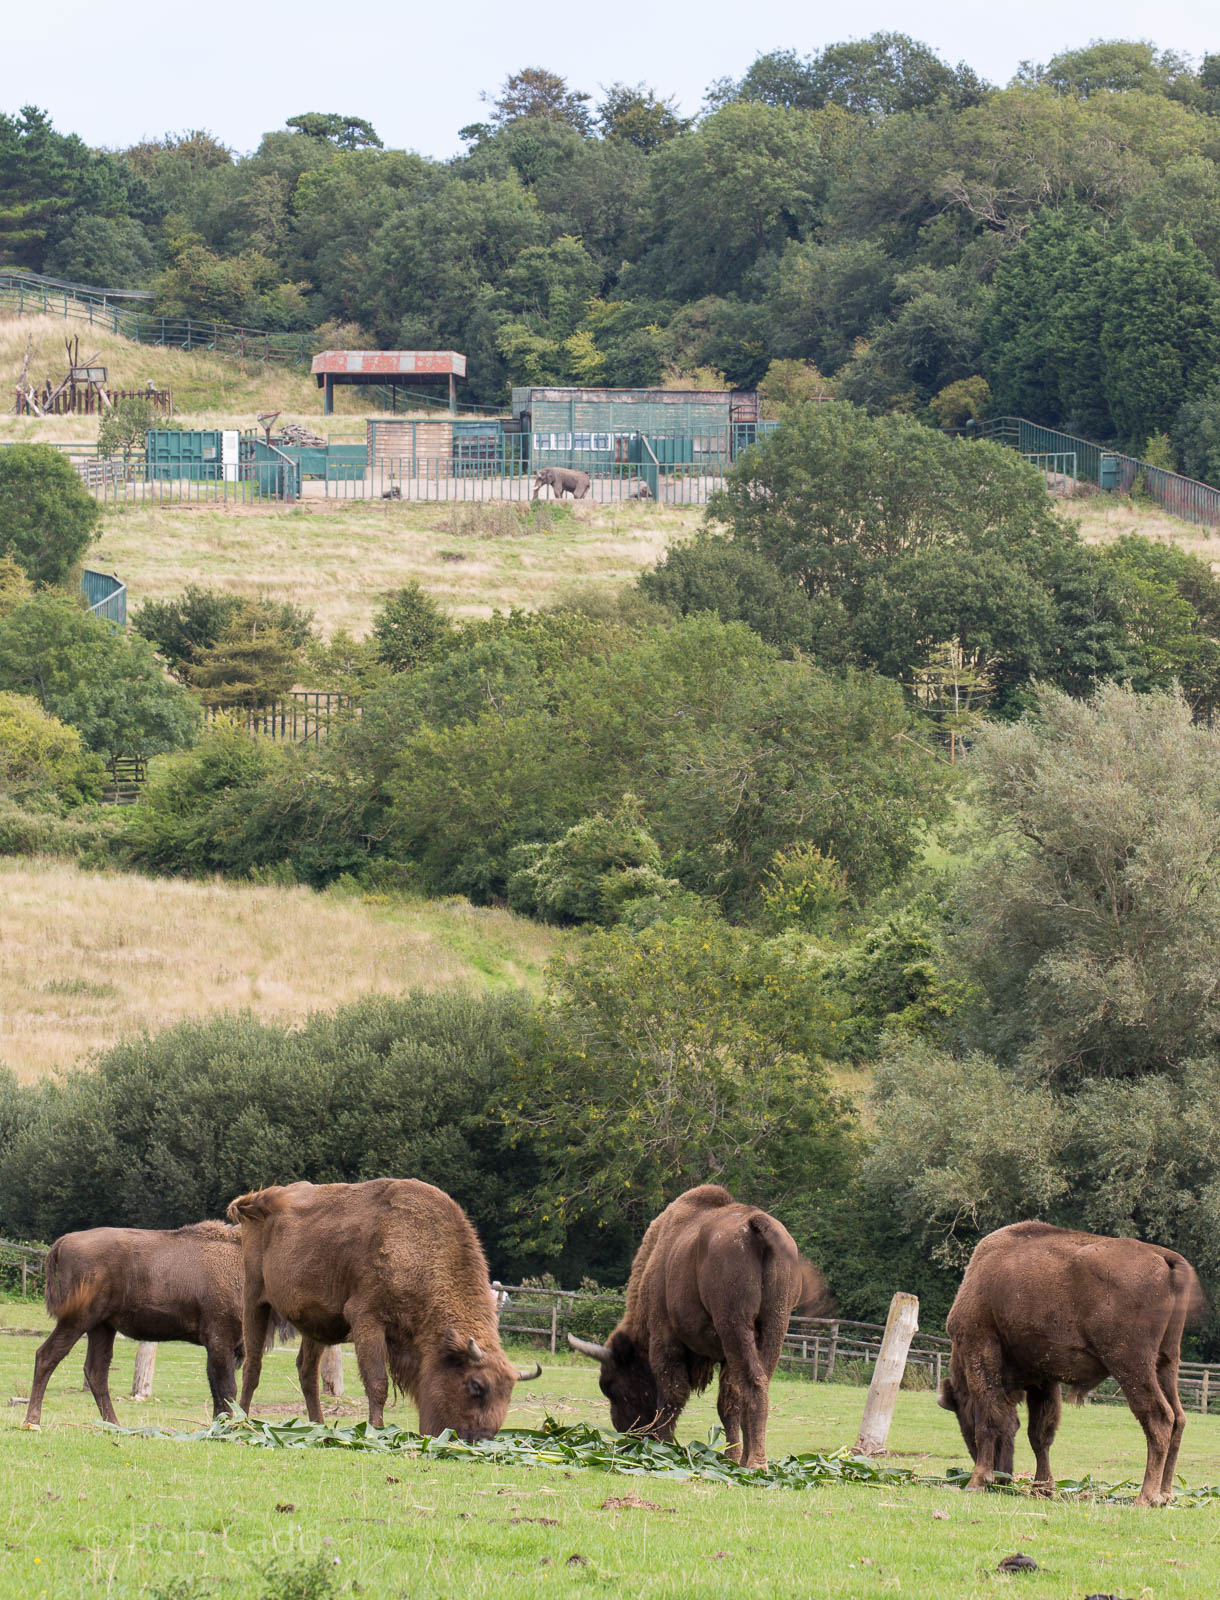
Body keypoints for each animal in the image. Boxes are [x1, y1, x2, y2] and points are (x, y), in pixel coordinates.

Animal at [227, 1178, 541, 1437]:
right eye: (477, 1386)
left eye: (508, 1394)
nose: (481, 1438)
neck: (419, 1250)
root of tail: (255, 1200)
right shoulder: (368, 1321)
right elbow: (378, 1384)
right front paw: (376, 1431)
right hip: (255, 1301)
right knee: (253, 1366)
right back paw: (241, 1422)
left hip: (315, 1324)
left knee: (306, 1372)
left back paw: (318, 1426)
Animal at [569, 1184, 828, 1468]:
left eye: (611, 1386)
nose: (628, 1433)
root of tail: (756, 1224)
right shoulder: (726, 1355)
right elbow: (728, 1403)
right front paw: (732, 1457)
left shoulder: (665, 1339)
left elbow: (673, 1394)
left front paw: (664, 1446)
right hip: (775, 1324)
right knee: (757, 1384)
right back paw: (751, 1460)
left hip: (734, 1324)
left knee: (753, 1381)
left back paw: (755, 1462)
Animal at [940, 1221, 1202, 1505]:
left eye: (964, 1421)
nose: (1004, 1477)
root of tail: (1164, 1257)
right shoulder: (1042, 1377)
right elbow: (1039, 1434)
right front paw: (1042, 1488)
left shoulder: (980, 1348)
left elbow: (990, 1417)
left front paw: (976, 1482)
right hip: (1166, 1362)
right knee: (1178, 1418)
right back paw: (1165, 1494)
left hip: (1131, 1365)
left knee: (1159, 1417)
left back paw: (1145, 1497)